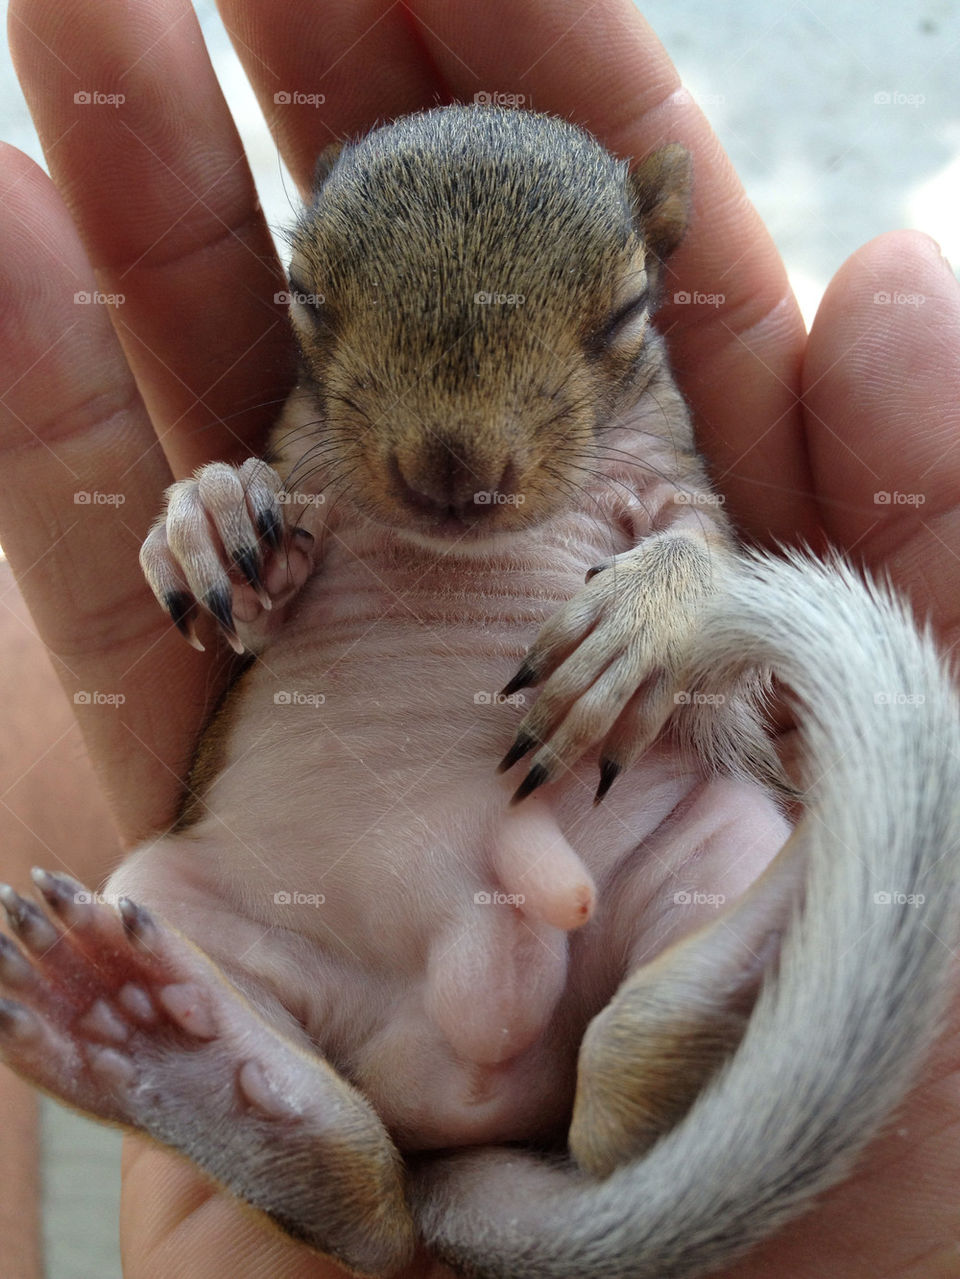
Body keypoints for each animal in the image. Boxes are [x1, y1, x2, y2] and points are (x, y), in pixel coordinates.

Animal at [2, 104, 960, 1279]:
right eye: (303, 292)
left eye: (631, 307)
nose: (453, 469)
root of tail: (464, 1064)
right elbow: (254, 588)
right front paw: (211, 511)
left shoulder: (688, 495)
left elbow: (705, 564)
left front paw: (636, 622)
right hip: (187, 903)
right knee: (368, 1197)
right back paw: (134, 1028)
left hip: (708, 846)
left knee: (624, 1076)